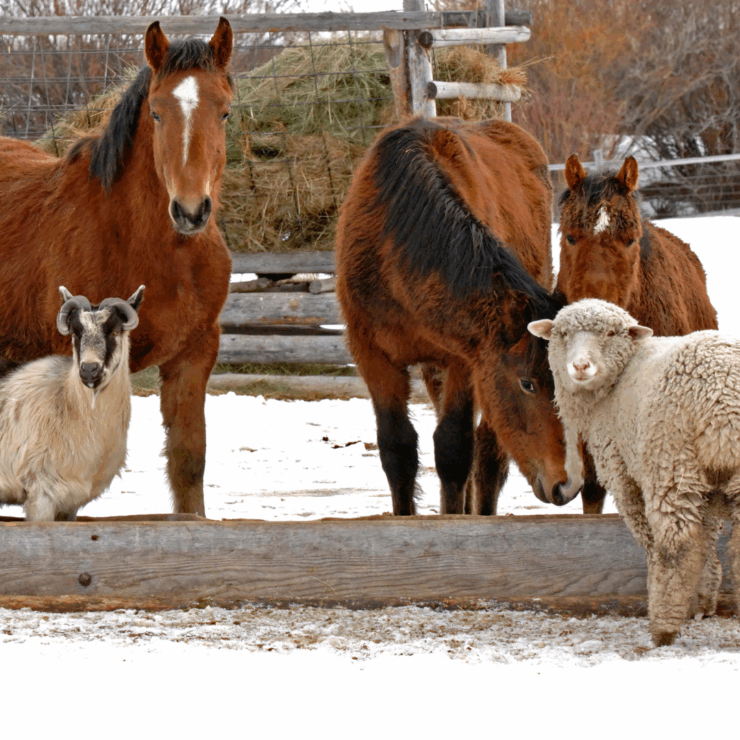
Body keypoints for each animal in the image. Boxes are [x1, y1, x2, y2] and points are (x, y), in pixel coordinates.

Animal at [336, 116, 581, 516]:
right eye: (527, 383)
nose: (567, 485)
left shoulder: (467, 360)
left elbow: (454, 450)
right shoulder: (372, 354)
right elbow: (397, 449)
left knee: (488, 454)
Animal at [528, 298, 740, 647]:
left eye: (610, 333)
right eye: (562, 334)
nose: (580, 367)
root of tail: (725, 399)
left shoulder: (621, 470)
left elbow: (651, 539)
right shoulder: (709, 486)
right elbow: (708, 539)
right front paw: (702, 601)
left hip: (670, 461)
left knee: (675, 544)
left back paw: (663, 627)